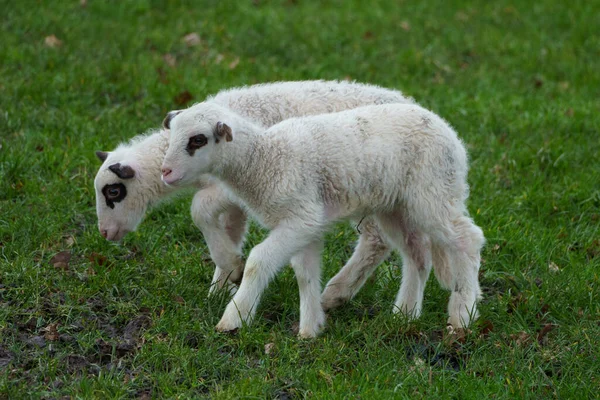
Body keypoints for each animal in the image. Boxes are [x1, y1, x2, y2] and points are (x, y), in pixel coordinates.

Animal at [94, 79, 412, 296]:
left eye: (113, 191)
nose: (105, 233)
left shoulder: (229, 186)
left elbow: (199, 210)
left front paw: (229, 272)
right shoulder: (236, 198)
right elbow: (231, 229)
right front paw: (223, 284)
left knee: (376, 241)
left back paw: (336, 293)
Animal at [161, 101, 488, 336]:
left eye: (198, 140)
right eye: (171, 134)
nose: (165, 172)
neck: (265, 159)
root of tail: (451, 134)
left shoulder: (301, 217)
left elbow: (258, 261)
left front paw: (234, 318)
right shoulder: (307, 224)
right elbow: (305, 272)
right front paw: (310, 329)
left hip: (433, 193)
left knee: (467, 239)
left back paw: (462, 315)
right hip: (394, 206)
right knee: (417, 254)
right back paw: (405, 314)